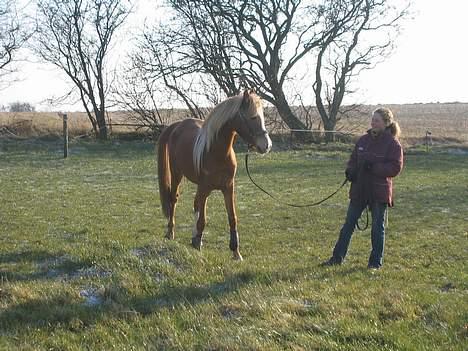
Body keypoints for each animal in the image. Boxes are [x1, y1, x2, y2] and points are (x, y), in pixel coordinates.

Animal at [157, 90, 272, 262]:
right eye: (252, 117)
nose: (266, 145)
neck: (217, 153)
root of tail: (176, 126)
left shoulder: (228, 188)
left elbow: (232, 218)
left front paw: (236, 252)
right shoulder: (205, 188)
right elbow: (203, 220)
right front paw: (198, 245)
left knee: (195, 204)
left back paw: (193, 237)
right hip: (177, 174)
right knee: (173, 199)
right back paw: (171, 232)